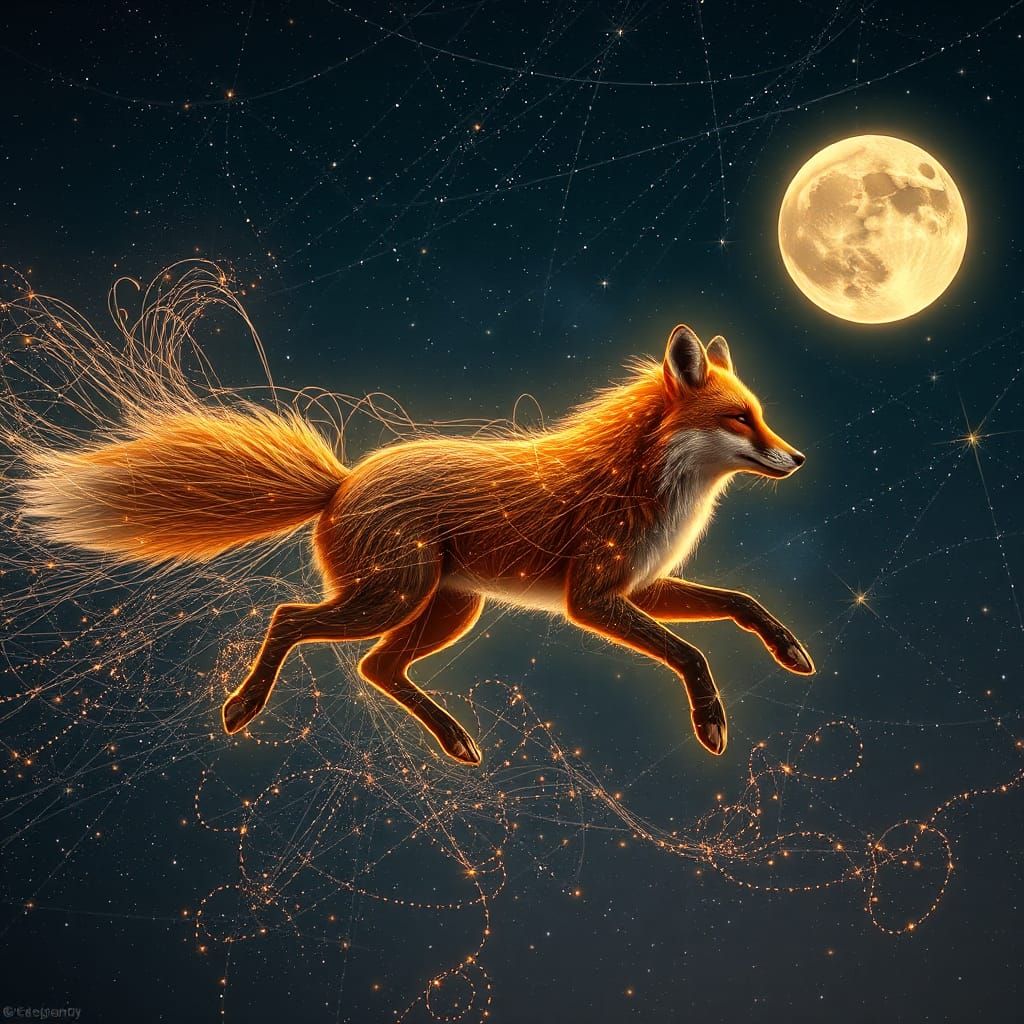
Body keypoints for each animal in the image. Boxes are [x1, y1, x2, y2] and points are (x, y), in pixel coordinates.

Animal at [20, 323, 814, 763]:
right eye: (740, 418)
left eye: (760, 415)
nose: (798, 458)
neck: (646, 484)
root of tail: (340, 482)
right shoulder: (590, 599)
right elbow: (691, 652)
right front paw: (710, 721)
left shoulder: (639, 587)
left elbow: (741, 604)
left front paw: (789, 650)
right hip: (395, 596)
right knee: (290, 620)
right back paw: (243, 706)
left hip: (447, 608)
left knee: (376, 667)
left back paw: (453, 740)